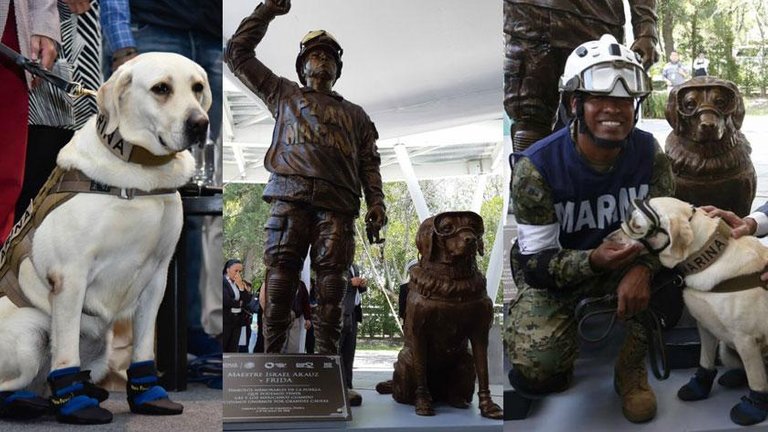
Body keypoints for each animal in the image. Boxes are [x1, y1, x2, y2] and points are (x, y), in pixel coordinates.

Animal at [0, 52, 210, 424]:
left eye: (197, 87)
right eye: (161, 88)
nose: (201, 124)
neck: (142, 172)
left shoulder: (157, 277)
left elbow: (143, 346)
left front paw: (149, 396)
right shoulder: (70, 278)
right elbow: (66, 353)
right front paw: (74, 405)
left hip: (101, 345)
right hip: (31, 332)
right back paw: (30, 401)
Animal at [620, 197, 768, 426]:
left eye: (636, 226)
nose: (610, 239)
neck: (708, 259)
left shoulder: (746, 339)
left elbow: (757, 380)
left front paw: (751, 409)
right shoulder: (705, 326)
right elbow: (704, 361)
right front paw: (699, 386)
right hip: (725, 349)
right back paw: (733, 377)